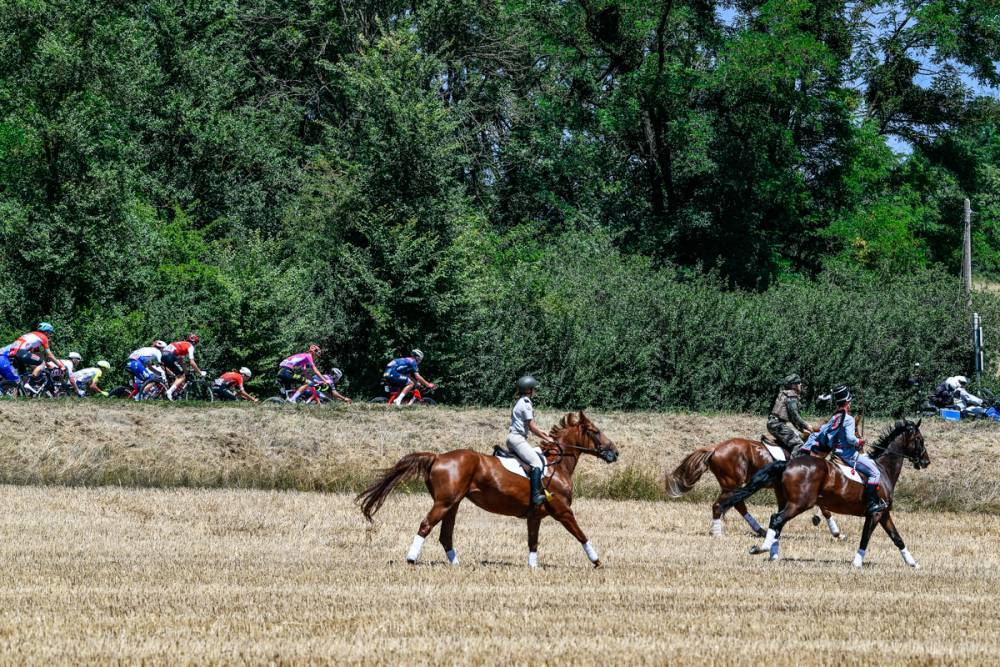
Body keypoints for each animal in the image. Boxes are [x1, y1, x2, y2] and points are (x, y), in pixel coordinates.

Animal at [352, 412, 616, 568]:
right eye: (594, 431)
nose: (615, 452)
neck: (556, 465)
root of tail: (437, 457)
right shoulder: (562, 511)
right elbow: (581, 534)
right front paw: (597, 561)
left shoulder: (535, 516)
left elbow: (533, 542)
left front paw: (533, 567)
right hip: (444, 503)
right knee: (426, 525)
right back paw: (411, 559)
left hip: (453, 504)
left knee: (445, 535)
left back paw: (457, 564)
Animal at [664, 438, 844, 544]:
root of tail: (715, 448)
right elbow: (825, 509)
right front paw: (837, 533)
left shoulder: (782, 489)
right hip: (731, 484)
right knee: (722, 505)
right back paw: (717, 532)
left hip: (732, 486)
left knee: (738, 505)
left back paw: (760, 530)